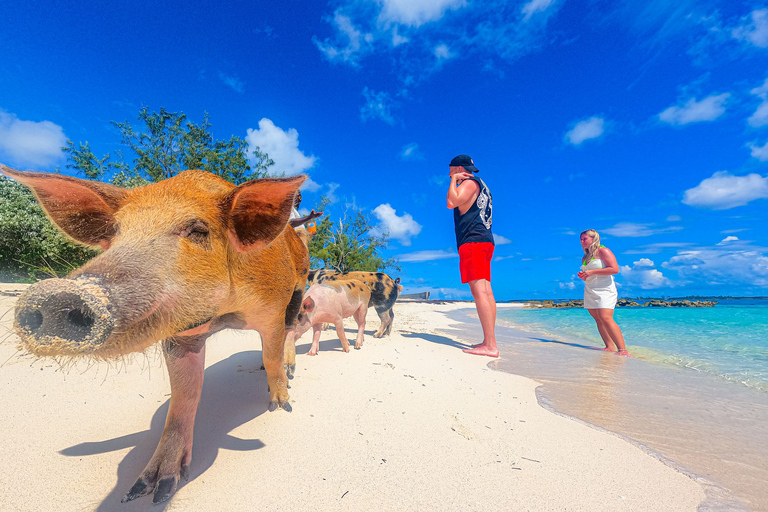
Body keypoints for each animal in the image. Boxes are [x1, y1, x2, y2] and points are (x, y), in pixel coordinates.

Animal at [0, 164, 308, 504]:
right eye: (116, 231)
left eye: (198, 230)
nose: (57, 295)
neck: (223, 314)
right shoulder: (179, 337)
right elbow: (184, 396)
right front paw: (148, 492)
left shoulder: (272, 308)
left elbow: (272, 352)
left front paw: (281, 405)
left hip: (299, 286)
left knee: (291, 330)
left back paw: (289, 373)